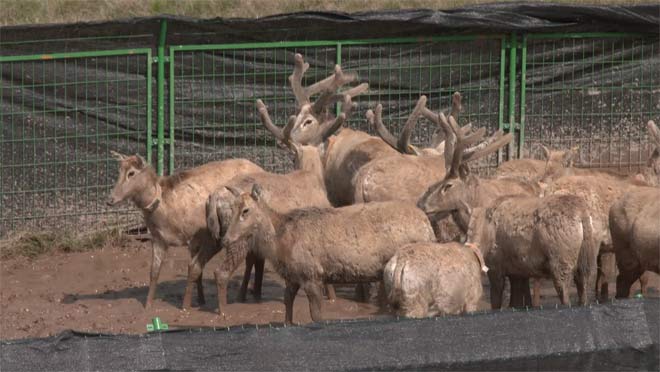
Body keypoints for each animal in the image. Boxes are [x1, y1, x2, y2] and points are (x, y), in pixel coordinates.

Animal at [107, 153, 264, 310]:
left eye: (131, 173)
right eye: (119, 170)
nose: (110, 199)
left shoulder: (201, 237)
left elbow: (194, 268)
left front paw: (189, 305)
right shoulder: (158, 239)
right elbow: (154, 272)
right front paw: (148, 306)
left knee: (253, 258)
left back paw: (250, 295)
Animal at [222, 185, 438, 324]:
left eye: (246, 210)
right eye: (231, 208)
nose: (225, 239)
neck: (278, 245)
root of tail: (428, 228)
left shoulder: (312, 274)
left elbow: (316, 315)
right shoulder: (293, 276)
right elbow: (287, 303)